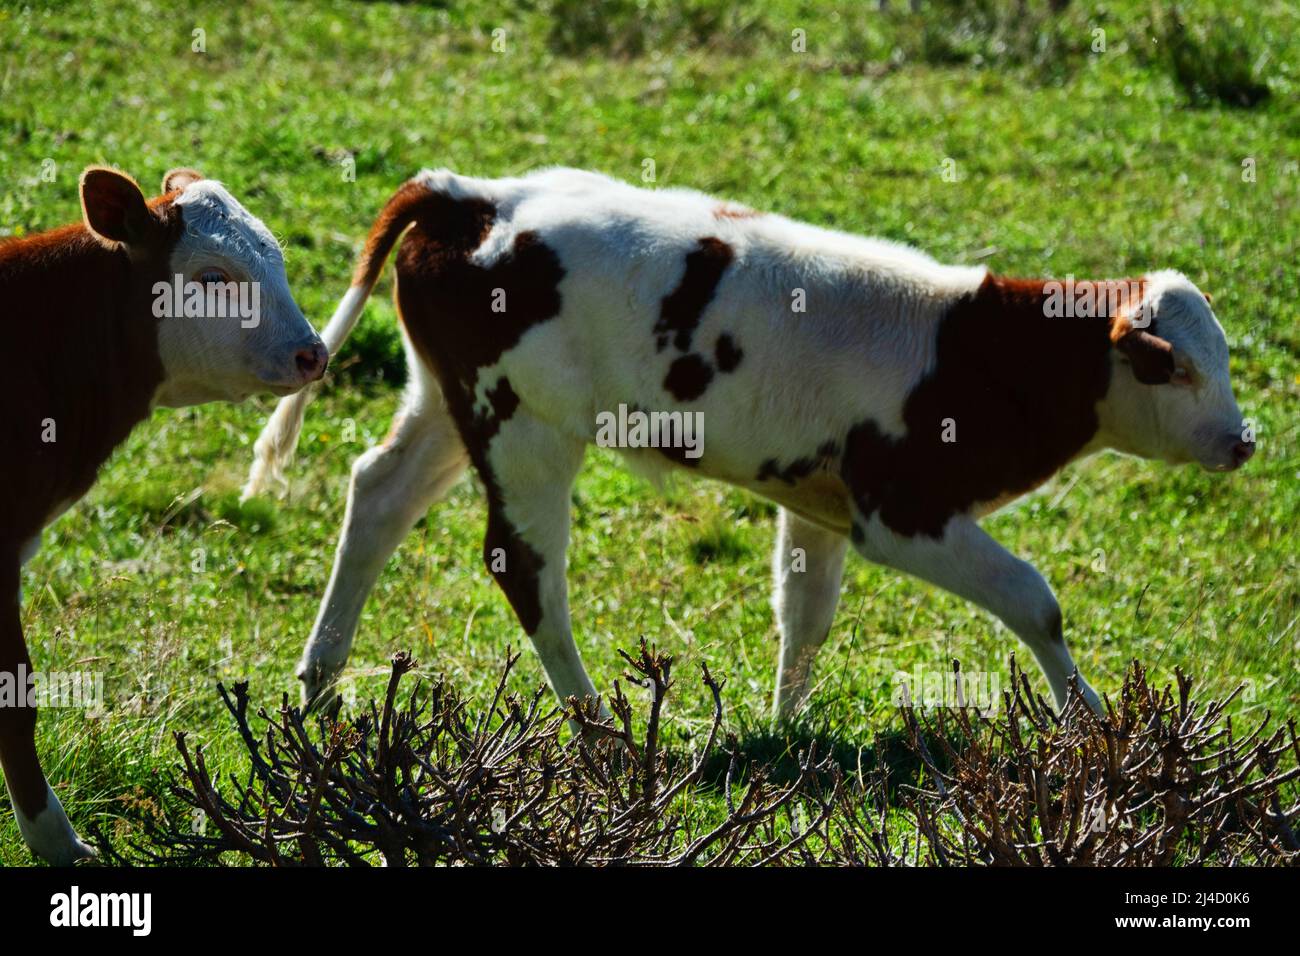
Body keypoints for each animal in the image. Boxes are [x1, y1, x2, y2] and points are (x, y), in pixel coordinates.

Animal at [244, 167, 1248, 723]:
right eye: (1171, 366)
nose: (1243, 441)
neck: (969, 350)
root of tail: (472, 195)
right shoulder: (902, 513)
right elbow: (1036, 601)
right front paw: (1091, 721)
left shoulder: (820, 503)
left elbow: (804, 615)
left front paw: (783, 728)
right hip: (526, 426)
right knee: (524, 566)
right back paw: (592, 720)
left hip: (450, 403)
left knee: (379, 496)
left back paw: (320, 680)